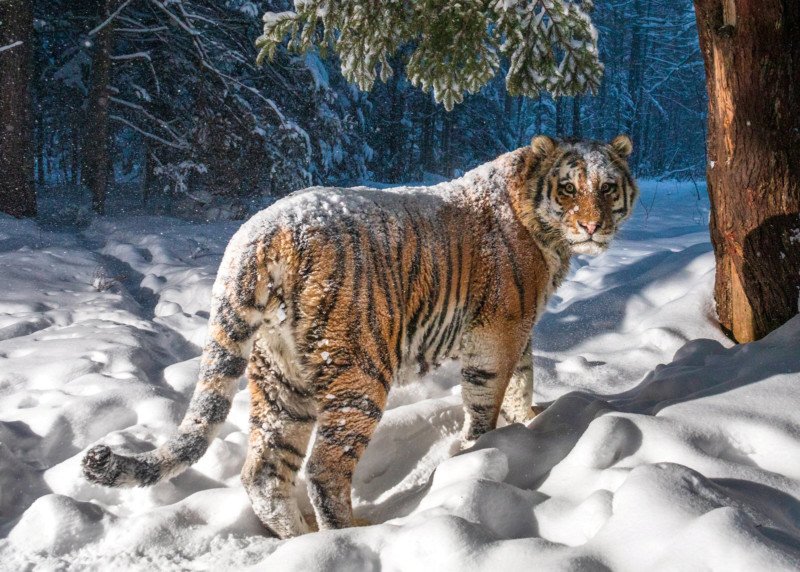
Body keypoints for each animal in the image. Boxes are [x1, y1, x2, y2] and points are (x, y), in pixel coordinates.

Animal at [82, 134, 638, 539]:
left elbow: (523, 380)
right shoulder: (497, 332)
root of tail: (258, 233)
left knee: (264, 471)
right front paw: (486, 449)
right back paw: (350, 536)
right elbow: (488, 399)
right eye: (568, 188)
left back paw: (300, 540)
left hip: (280, 379)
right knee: (324, 470)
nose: (592, 225)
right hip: (360, 372)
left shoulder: (520, 332)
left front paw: (528, 423)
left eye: (608, 187)